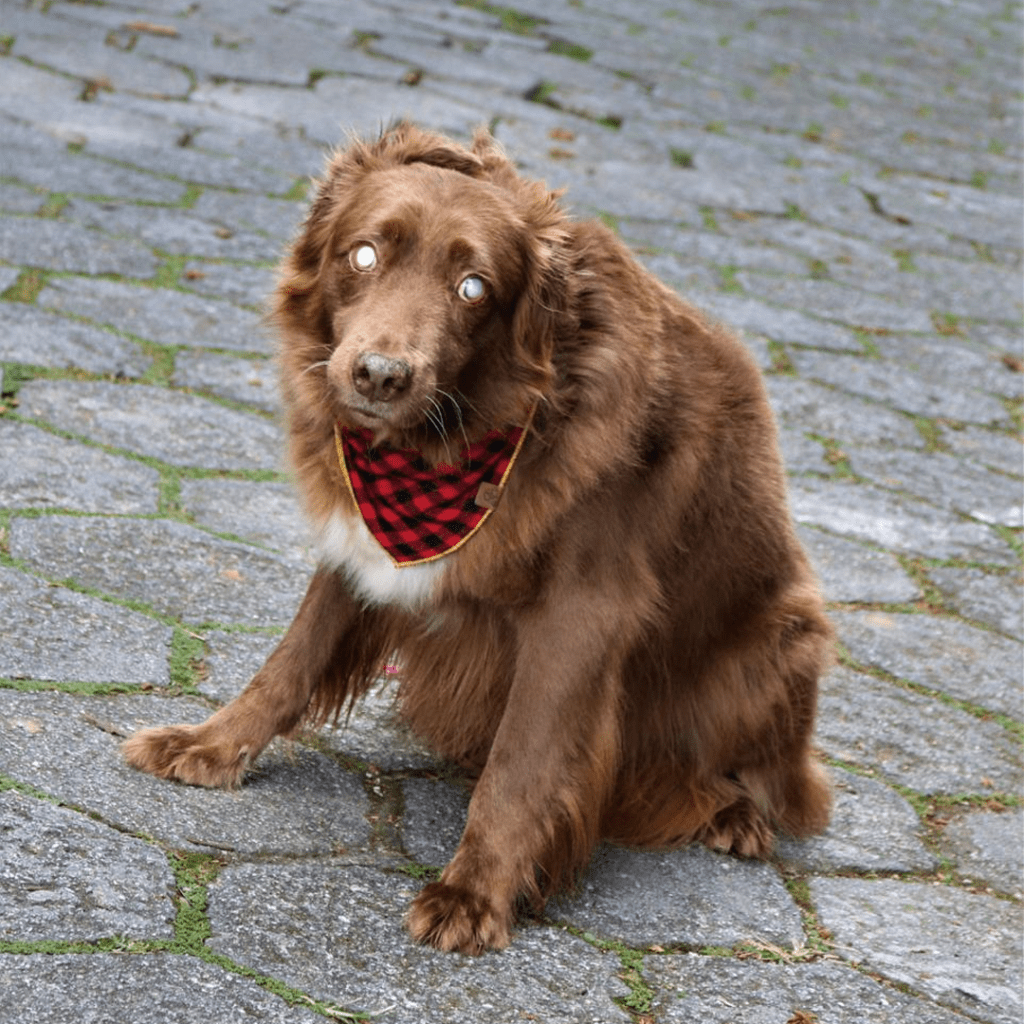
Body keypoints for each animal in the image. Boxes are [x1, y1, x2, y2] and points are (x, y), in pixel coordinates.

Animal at [123, 123, 835, 954]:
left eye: (474, 288)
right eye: (363, 254)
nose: (379, 375)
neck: (455, 440)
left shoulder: (582, 615)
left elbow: (523, 761)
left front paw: (476, 892)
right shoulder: (357, 546)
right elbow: (289, 661)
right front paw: (209, 745)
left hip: (784, 640)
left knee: (758, 784)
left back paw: (733, 817)